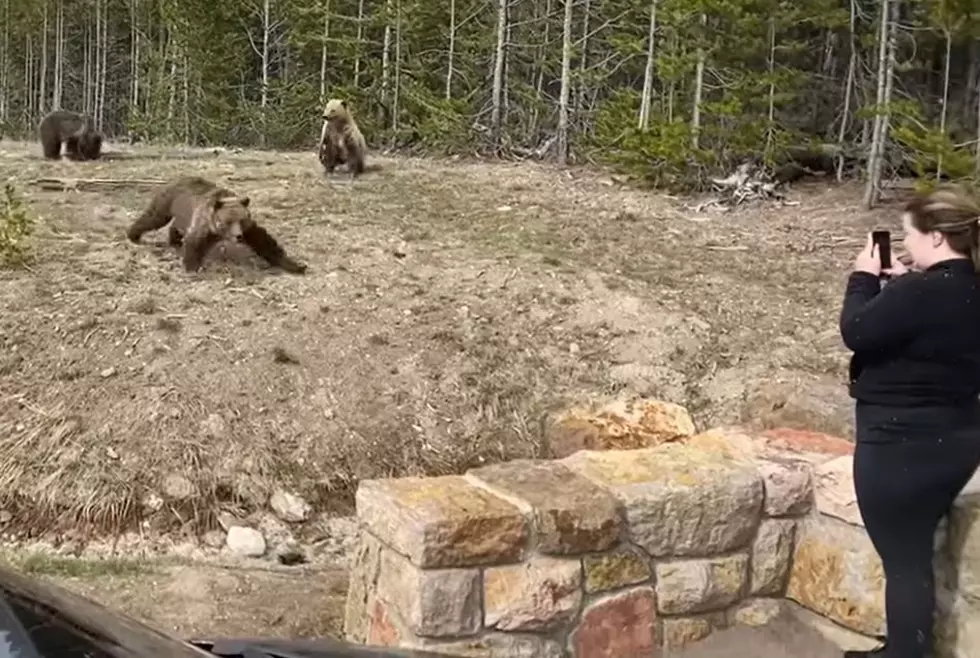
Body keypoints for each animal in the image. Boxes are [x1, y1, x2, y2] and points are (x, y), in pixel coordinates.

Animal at [125, 176, 306, 272]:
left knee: (176, 226)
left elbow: (265, 242)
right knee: (152, 218)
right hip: (167, 202)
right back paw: (133, 234)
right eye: (228, 221)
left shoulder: (250, 229)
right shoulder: (204, 223)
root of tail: (175, 180)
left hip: (182, 213)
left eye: (242, 220)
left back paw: (174, 240)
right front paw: (192, 266)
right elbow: (195, 241)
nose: (239, 236)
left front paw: (296, 265)